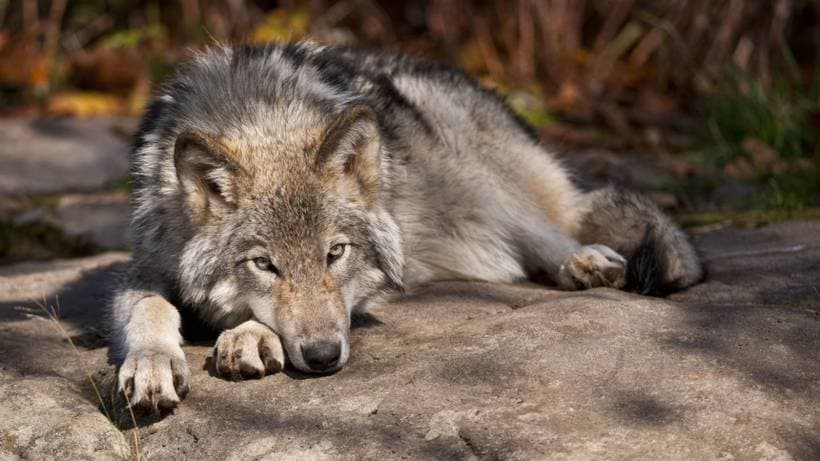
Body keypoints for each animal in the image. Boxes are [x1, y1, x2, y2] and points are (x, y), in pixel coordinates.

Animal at [111, 42, 701, 412]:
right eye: (263, 264)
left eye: (336, 253)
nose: (324, 358)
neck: (260, 116)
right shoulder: (141, 268)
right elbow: (150, 308)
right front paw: (152, 364)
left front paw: (248, 336)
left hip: (475, 181)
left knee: (551, 226)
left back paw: (583, 260)